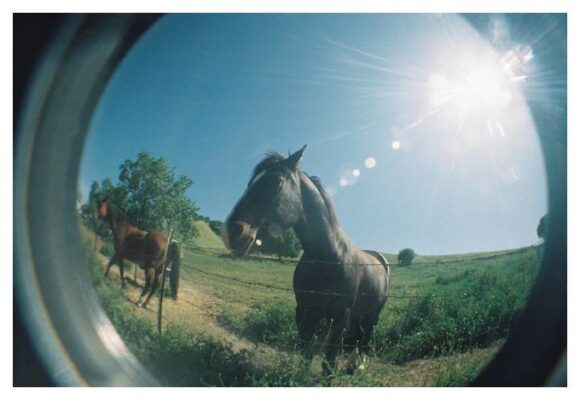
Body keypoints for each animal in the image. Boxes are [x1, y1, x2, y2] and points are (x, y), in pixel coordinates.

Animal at [222, 147, 390, 376]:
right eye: (250, 183)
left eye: (276, 181)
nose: (230, 232)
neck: (329, 259)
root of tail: (381, 260)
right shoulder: (304, 311)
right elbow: (305, 350)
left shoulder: (341, 317)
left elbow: (329, 359)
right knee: (359, 334)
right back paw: (353, 363)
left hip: (374, 313)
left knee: (366, 336)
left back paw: (360, 364)